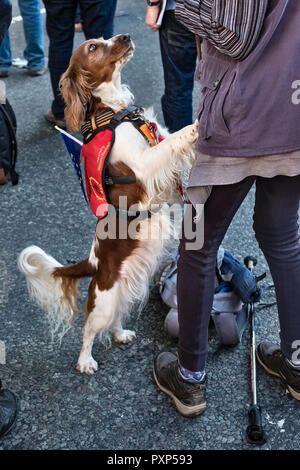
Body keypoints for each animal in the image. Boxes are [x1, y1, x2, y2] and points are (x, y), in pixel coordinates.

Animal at [17, 35, 198, 374]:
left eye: (104, 38)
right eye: (93, 47)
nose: (125, 36)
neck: (114, 110)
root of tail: (92, 263)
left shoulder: (158, 141)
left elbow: (172, 140)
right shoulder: (144, 166)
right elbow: (176, 139)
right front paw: (199, 122)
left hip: (125, 287)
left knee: (116, 317)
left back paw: (121, 333)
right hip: (103, 299)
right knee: (89, 329)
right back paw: (85, 361)